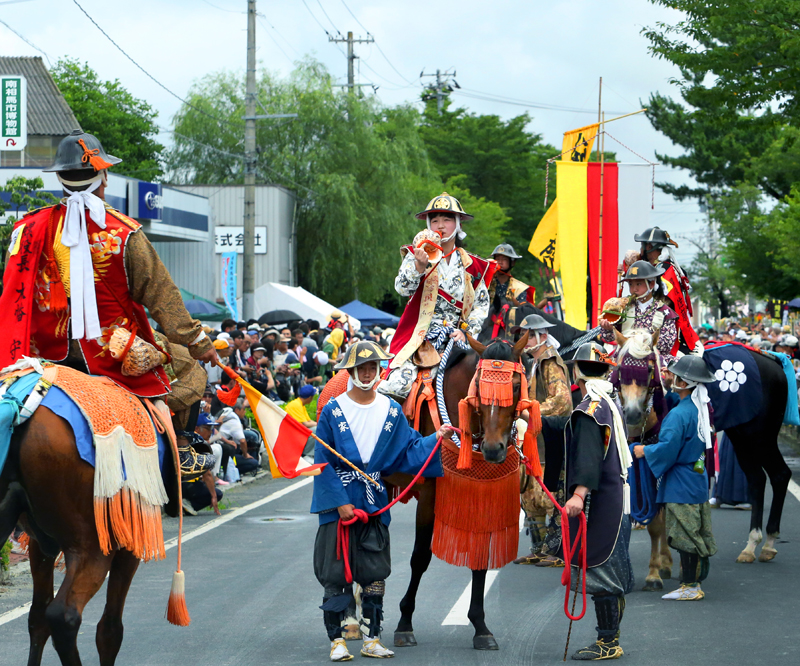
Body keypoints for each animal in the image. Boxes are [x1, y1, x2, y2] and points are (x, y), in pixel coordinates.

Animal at [0, 404, 177, 664]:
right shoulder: (128, 544)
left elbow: (37, 618)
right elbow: (110, 629)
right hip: (91, 548)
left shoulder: (39, 546)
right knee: (65, 615)